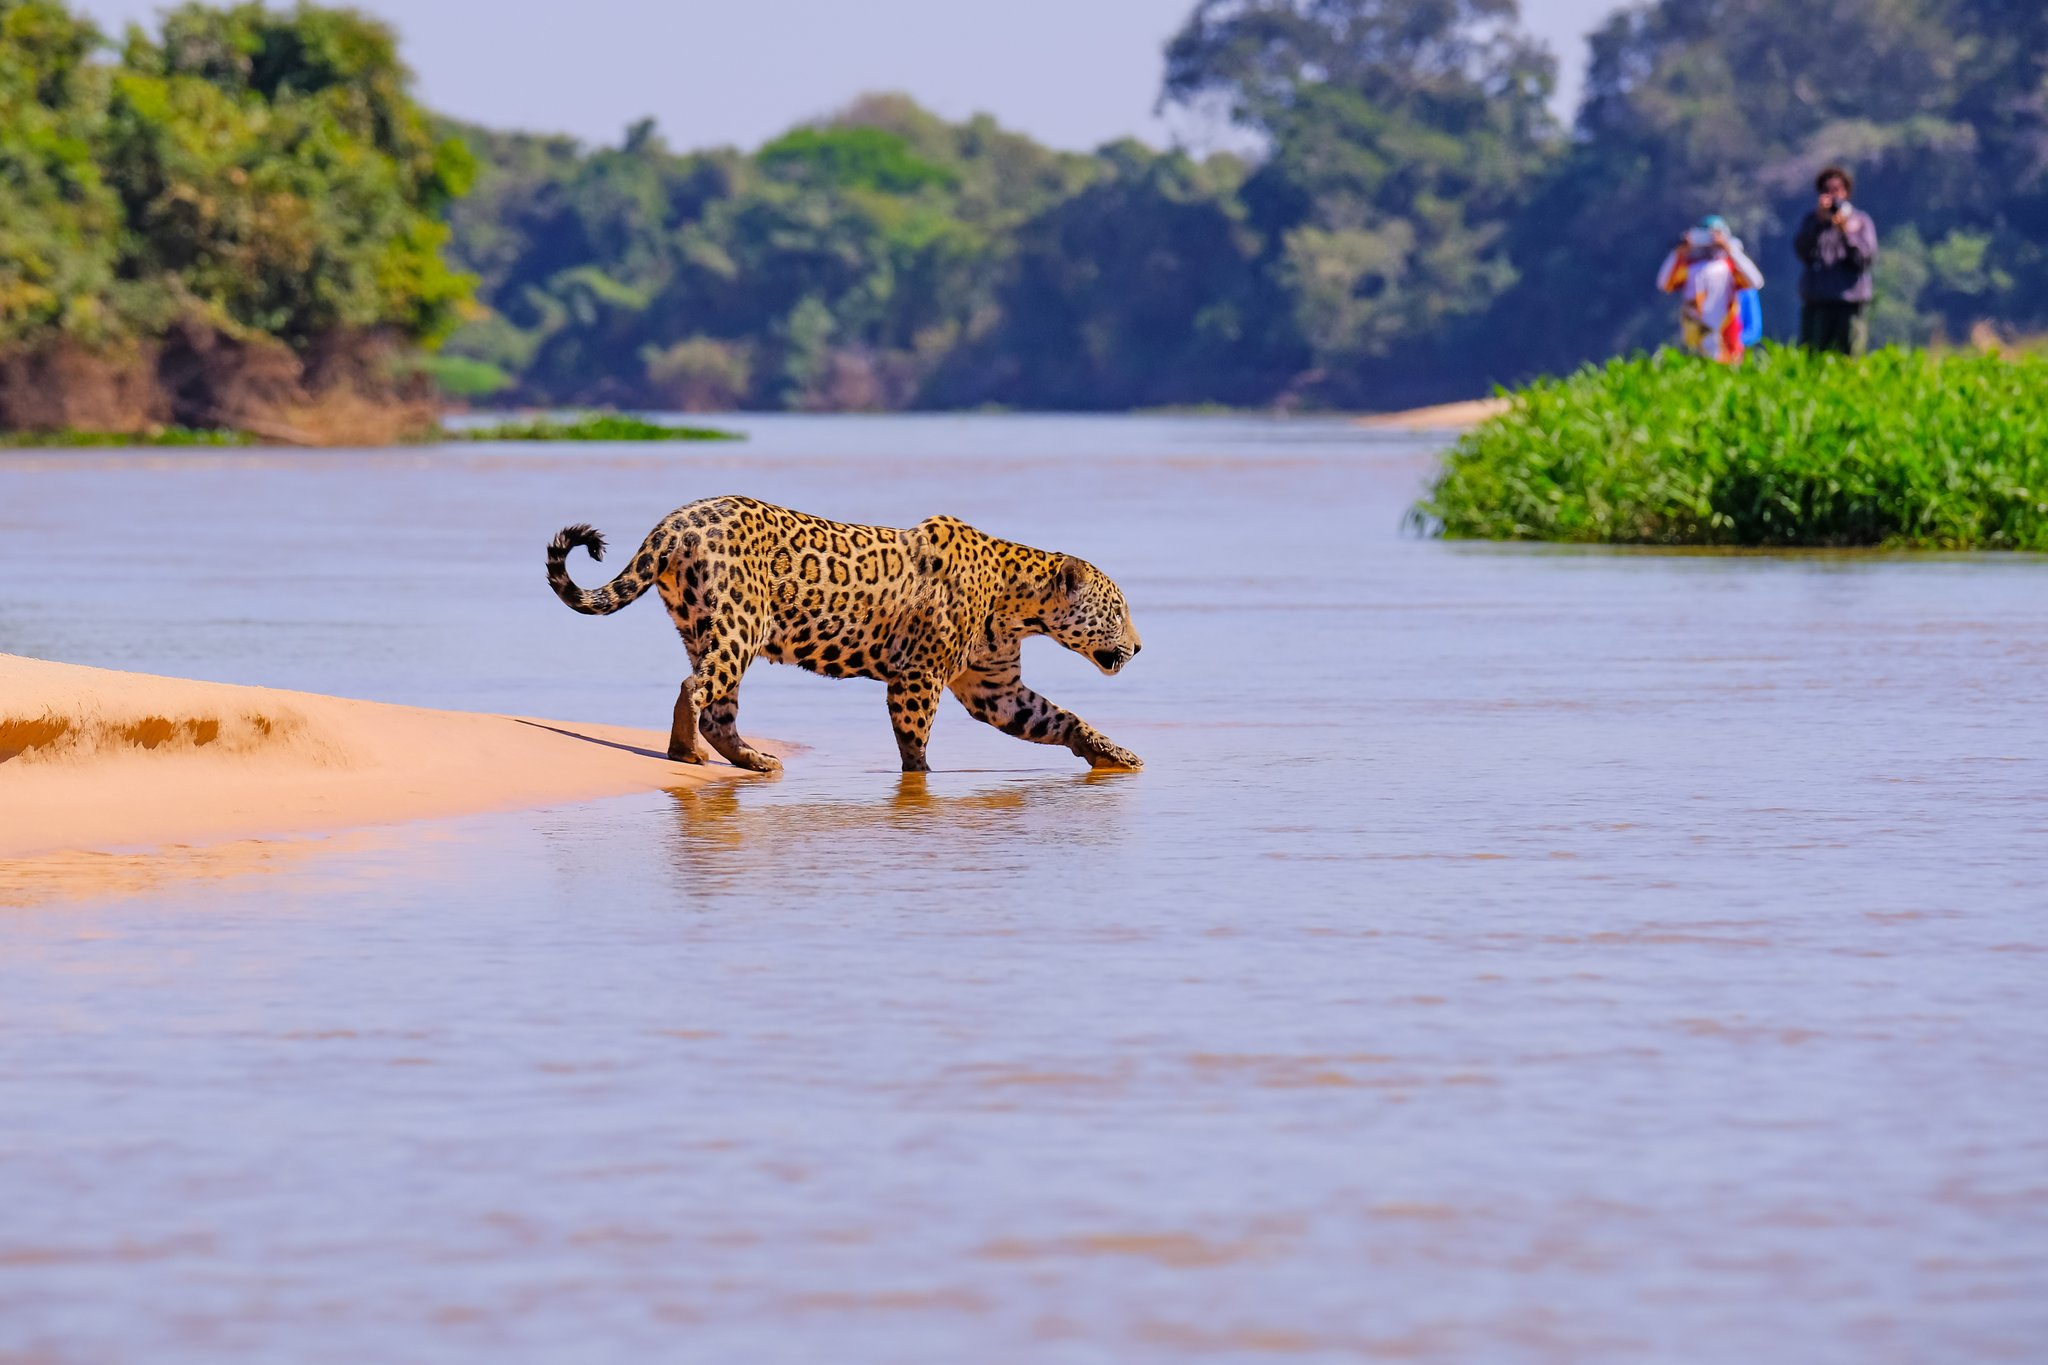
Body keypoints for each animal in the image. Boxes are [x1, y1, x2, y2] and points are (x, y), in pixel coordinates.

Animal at [545, 495, 1144, 774]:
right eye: (1118, 610)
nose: (1140, 646)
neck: (1017, 602)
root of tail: (674, 522)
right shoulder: (919, 675)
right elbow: (914, 742)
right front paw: (922, 780)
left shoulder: (995, 689)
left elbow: (1060, 719)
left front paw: (1115, 754)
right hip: (741, 623)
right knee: (696, 688)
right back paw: (685, 753)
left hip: (704, 625)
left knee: (718, 707)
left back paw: (753, 760)